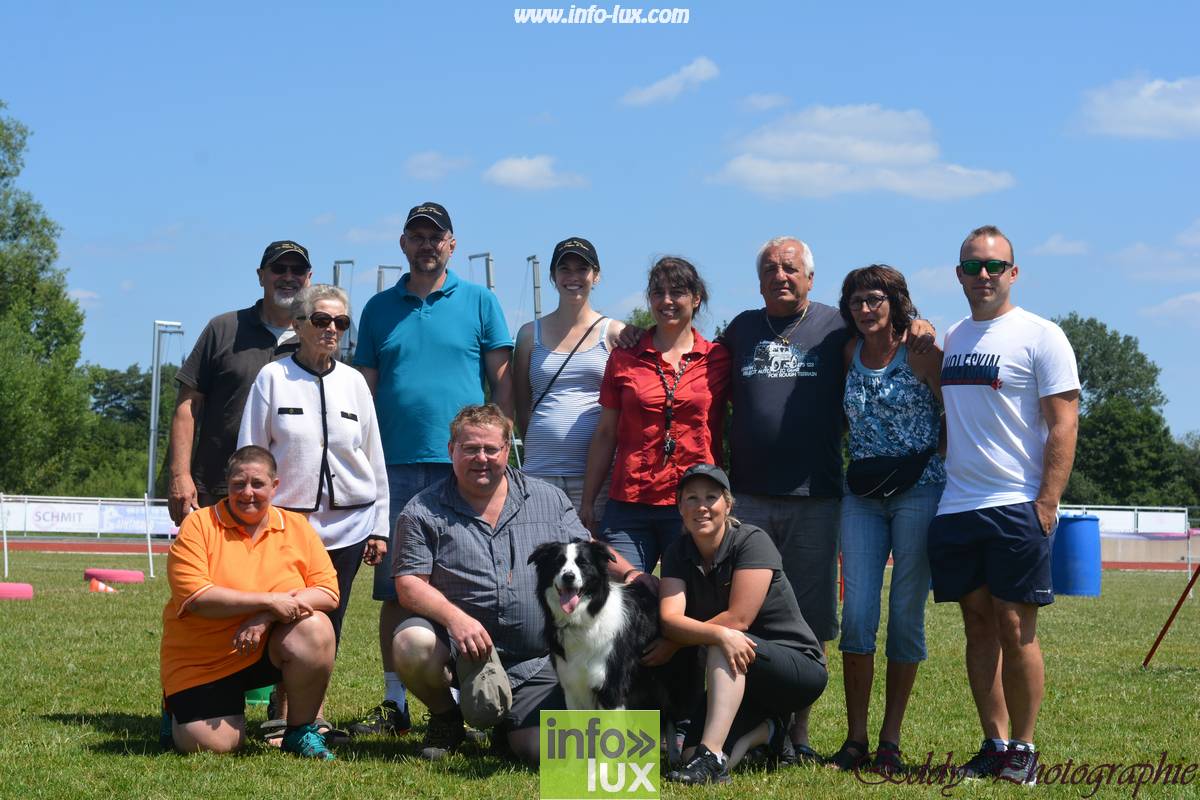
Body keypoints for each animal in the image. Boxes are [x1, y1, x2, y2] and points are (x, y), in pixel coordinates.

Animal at [532, 542, 667, 710]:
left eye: (583, 563)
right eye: (558, 562)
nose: (568, 577)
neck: (583, 621)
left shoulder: (611, 690)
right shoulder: (571, 688)